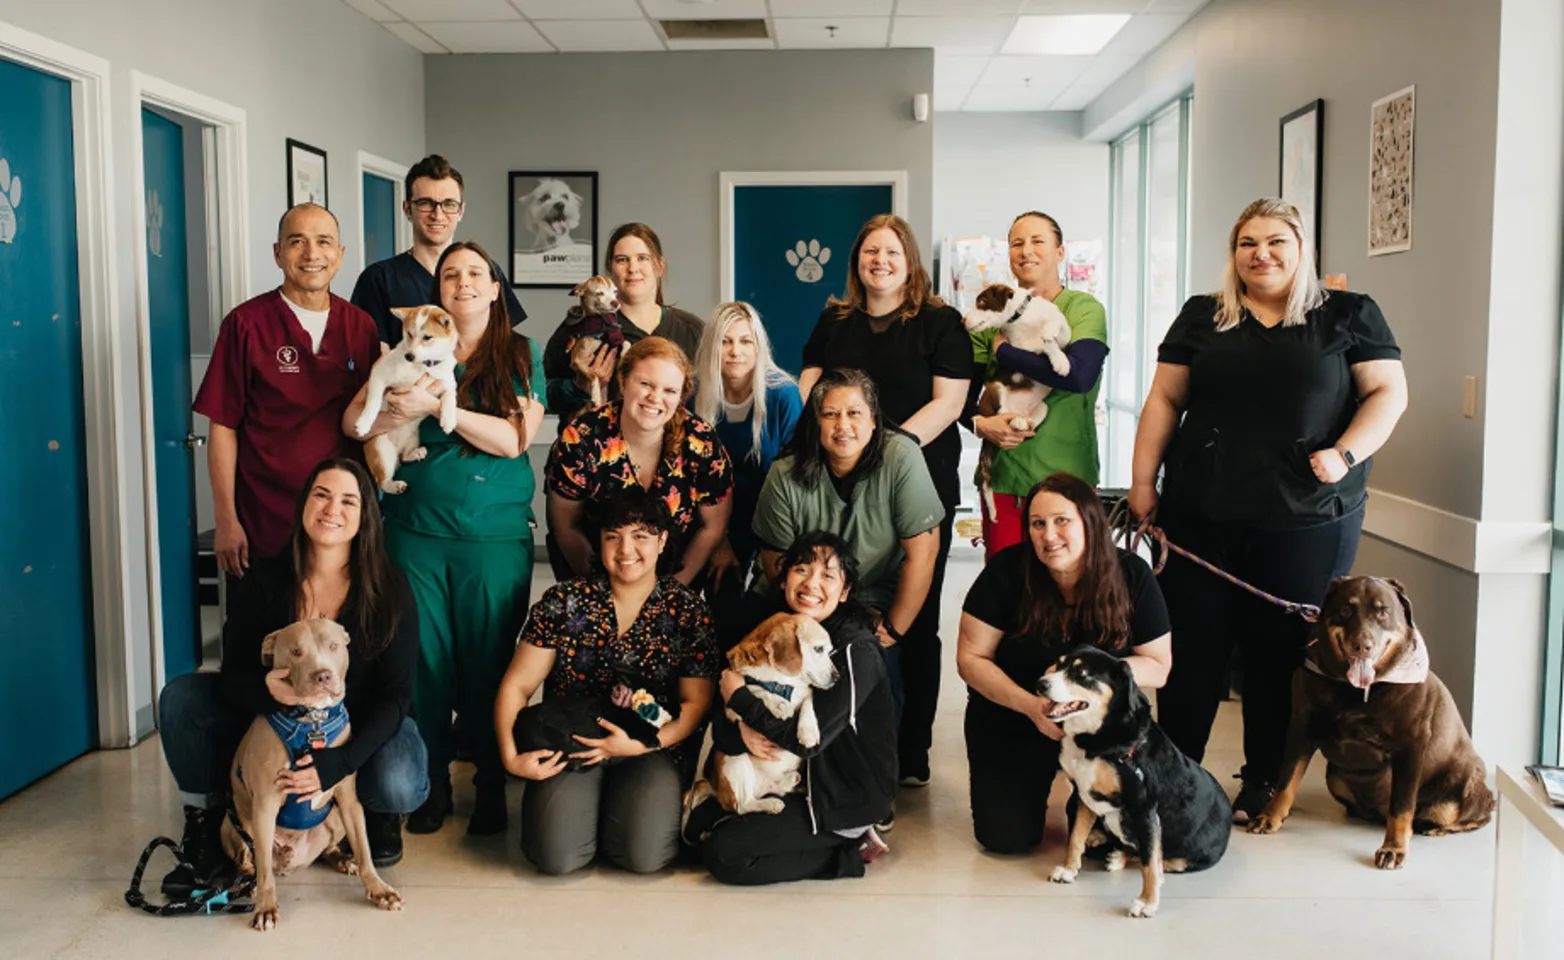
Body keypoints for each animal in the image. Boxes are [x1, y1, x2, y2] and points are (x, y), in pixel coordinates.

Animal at [228, 622, 409, 931]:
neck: (313, 720)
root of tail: (290, 860)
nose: (323, 674)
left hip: (334, 817)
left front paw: (379, 890)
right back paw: (247, 882)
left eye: (333, 646)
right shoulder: (265, 803)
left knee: (330, 848)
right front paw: (265, 907)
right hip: (233, 822)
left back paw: (342, 859)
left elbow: (364, 850)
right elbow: (264, 870)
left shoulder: (348, 798)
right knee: (250, 859)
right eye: (295, 652)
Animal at [350, 304, 456, 494]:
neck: (422, 367)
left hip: (414, 437)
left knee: (404, 458)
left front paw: (449, 419)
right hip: (381, 448)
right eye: (409, 334)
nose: (409, 356)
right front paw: (364, 423)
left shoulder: (448, 384)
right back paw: (395, 485)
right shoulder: (378, 373)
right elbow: (373, 401)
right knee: (382, 482)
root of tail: (397, 448)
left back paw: (414, 453)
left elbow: (450, 399)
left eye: (427, 337)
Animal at [716, 616, 838, 813]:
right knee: (743, 806)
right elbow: (755, 688)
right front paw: (779, 705)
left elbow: (808, 702)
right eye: (819, 649)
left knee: (772, 789)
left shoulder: (806, 691)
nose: (837, 677)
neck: (784, 682)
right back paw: (770, 804)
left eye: (830, 651)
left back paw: (787, 783)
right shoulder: (730, 707)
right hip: (733, 759)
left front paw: (808, 731)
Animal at [963, 284, 1076, 519]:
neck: (1020, 319)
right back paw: (1014, 421)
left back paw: (1023, 423)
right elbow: (1029, 351)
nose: (963, 320)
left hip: (1042, 407)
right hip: (995, 388)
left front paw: (1059, 358)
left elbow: (1054, 333)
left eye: (981, 302)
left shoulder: (1064, 334)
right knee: (1002, 413)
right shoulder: (1018, 348)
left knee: (1028, 421)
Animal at [1038, 647, 1232, 919]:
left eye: (1082, 674)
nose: (1040, 683)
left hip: (1186, 855)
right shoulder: (1083, 796)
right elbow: (1075, 837)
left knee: (1157, 859)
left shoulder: (1145, 810)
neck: (1098, 741)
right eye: (1059, 664)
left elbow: (1150, 863)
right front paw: (1069, 869)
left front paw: (1147, 902)